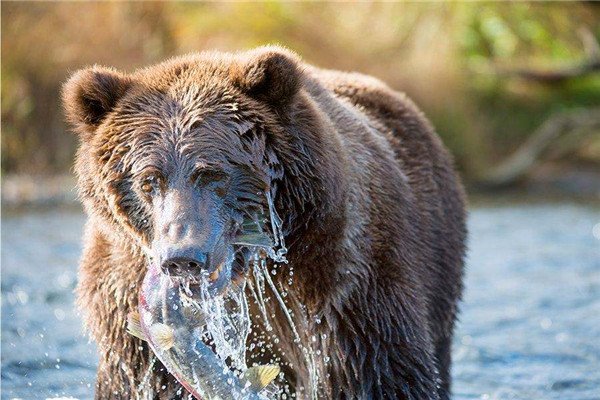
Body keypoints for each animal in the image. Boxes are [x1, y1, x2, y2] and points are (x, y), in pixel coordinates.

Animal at [63, 45, 466, 398]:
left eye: (212, 173)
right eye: (149, 180)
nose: (183, 258)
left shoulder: (345, 279)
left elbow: (372, 371)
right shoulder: (123, 295)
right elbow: (144, 379)